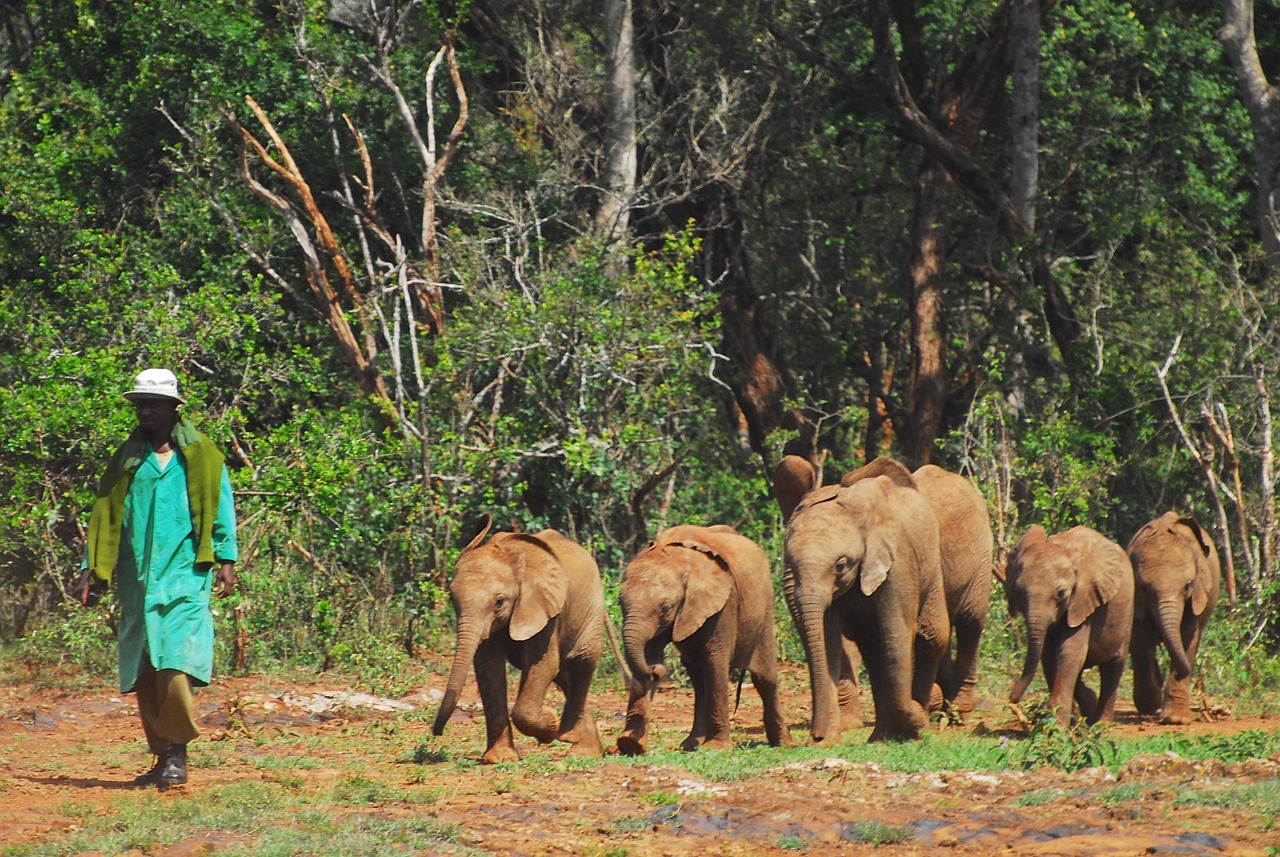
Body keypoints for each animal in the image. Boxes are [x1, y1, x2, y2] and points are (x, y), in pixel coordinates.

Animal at [432, 521, 605, 764]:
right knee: (564, 674)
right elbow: (489, 669)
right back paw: (585, 750)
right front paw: (500, 759)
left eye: (499, 601)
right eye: (453, 599)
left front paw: (549, 724)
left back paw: (572, 741)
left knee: (581, 662)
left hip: (593, 608)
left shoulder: (547, 608)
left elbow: (543, 665)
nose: (437, 732)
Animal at [616, 524, 789, 754]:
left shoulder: (724, 603)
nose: (657, 671)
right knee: (699, 678)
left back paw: (782, 743)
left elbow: (716, 660)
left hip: (765, 607)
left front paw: (716, 748)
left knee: (764, 677)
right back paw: (691, 744)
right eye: (620, 603)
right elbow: (650, 653)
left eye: (666, 607)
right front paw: (629, 744)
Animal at [784, 476, 950, 742]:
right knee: (873, 650)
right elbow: (828, 644)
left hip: (932, 565)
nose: (816, 736)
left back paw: (918, 726)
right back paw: (880, 737)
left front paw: (913, 723)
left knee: (932, 637)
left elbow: (896, 636)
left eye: (841, 565)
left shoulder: (899, 561)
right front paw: (827, 742)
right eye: (789, 561)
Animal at [999, 525, 1134, 727]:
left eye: (1062, 593)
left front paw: (1058, 727)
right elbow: (1050, 656)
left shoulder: (1083, 600)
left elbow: (1071, 652)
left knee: (1113, 666)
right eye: (1018, 592)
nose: (1013, 701)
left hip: (1126, 614)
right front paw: (1072, 720)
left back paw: (1101, 724)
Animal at [1127, 512, 1221, 725]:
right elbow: (1141, 638)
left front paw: (1177, 719)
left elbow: (1187, 636)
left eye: (1187, 585)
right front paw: (1151, 703)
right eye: (1144, 588)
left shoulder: (1197, 594)